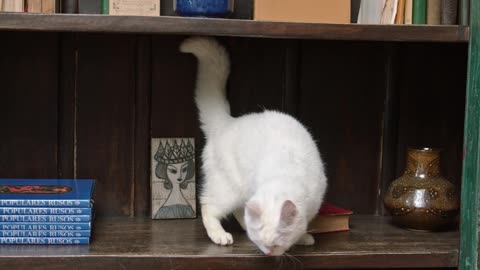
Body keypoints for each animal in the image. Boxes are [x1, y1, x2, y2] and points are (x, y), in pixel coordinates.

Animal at [179, 37, 326, 255]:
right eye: (262, 240)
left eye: (279, 240)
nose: (269, 253)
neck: (285, 173)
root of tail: (227, 122)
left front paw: (302, 237)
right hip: (229, 189)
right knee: (208, 205)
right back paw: (219, 235)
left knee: (239, 209)